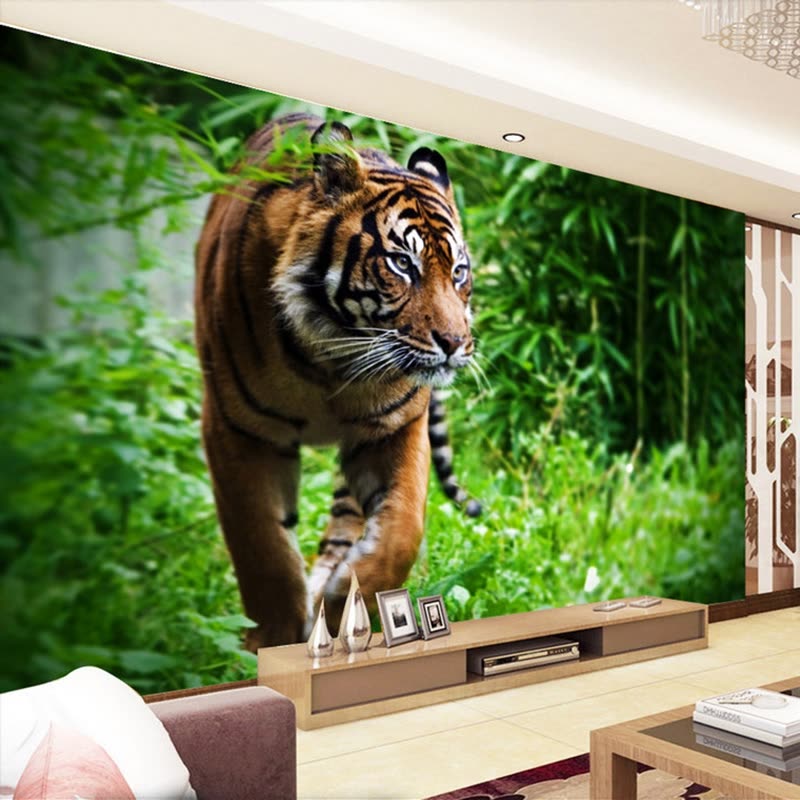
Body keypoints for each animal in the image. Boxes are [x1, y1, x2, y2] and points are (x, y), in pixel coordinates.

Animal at [194, 112, 479, 650]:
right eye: (402, 264)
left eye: (458, 272)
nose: (455, 343)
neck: (329, 361)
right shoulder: (236, 429)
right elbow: (260, 545)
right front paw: (272, 640)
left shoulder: (396, 428)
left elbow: (401, 531)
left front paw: (344, 604)